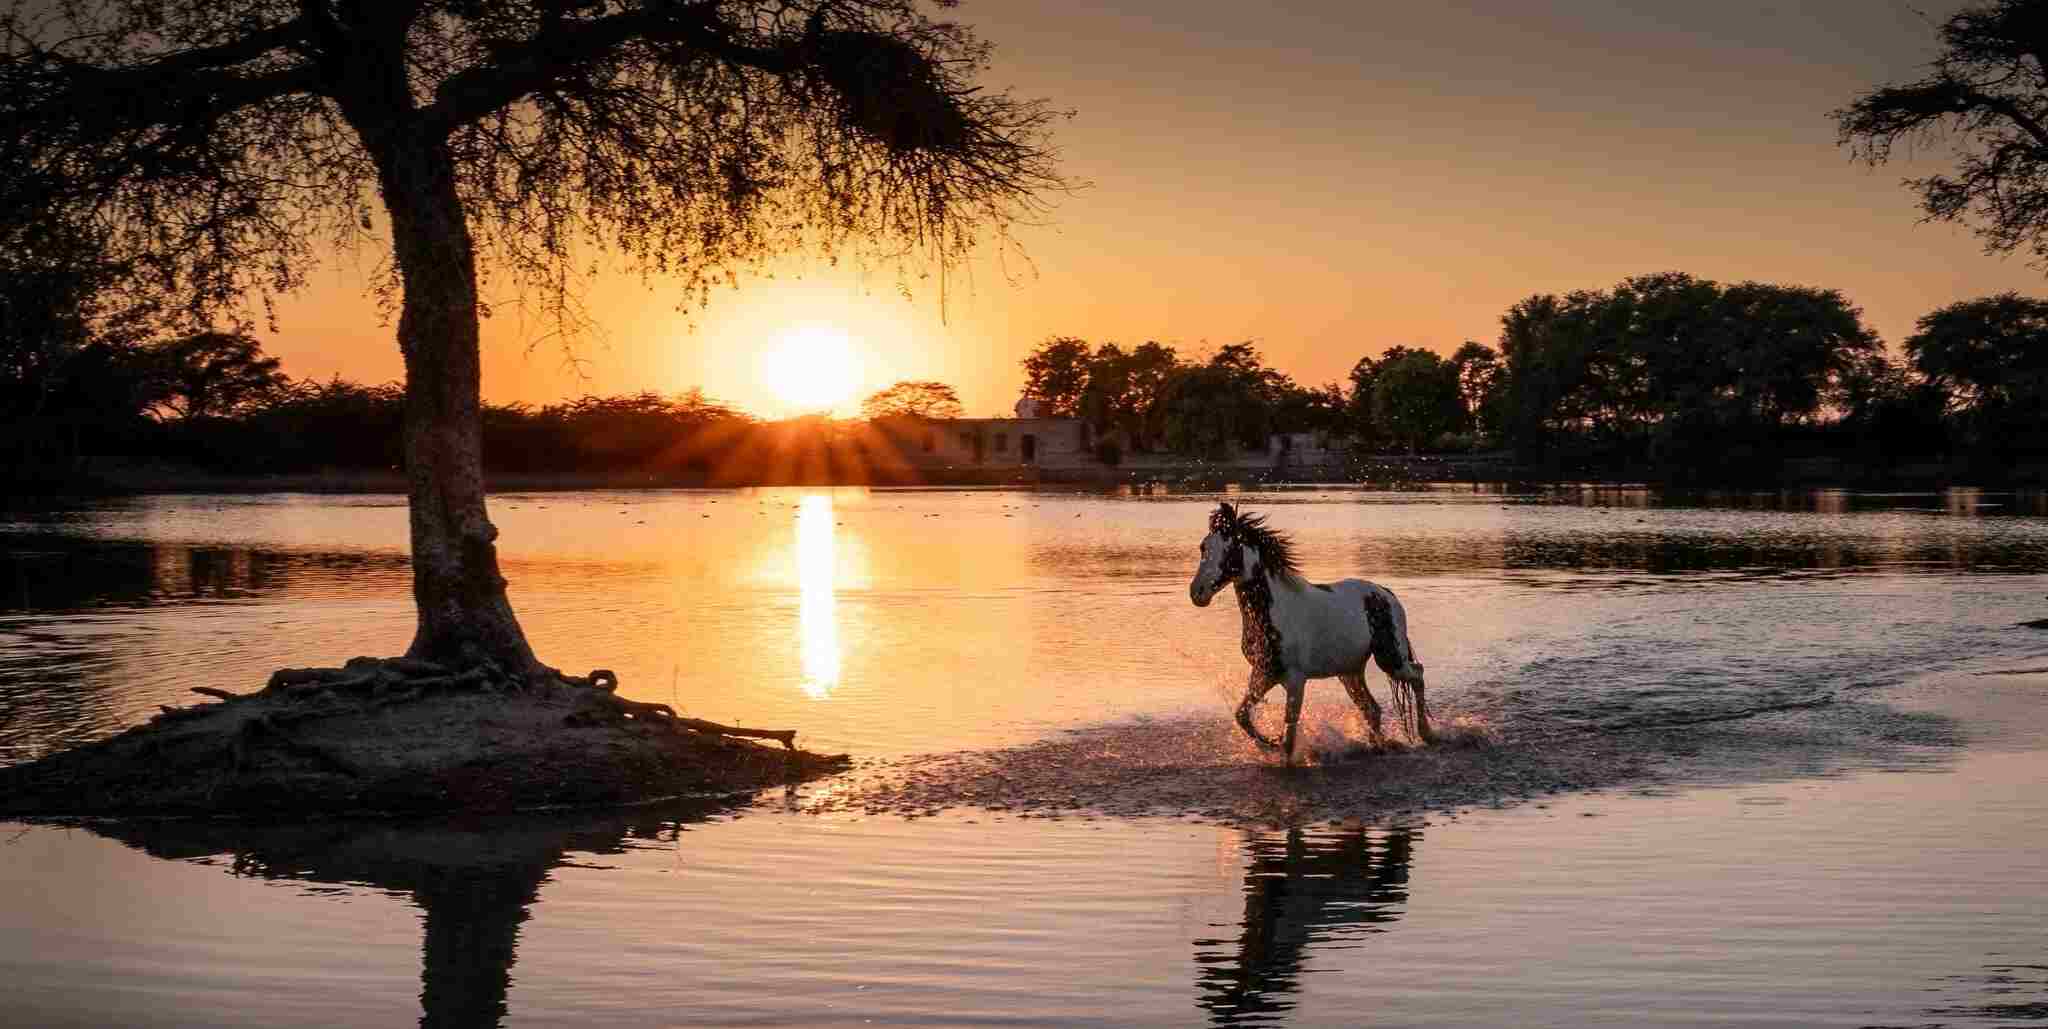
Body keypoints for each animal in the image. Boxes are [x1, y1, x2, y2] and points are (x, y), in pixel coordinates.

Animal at [1196, 502, 1433, 758]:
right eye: (1203, 547)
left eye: (1229, 549)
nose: (1197, 592)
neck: (1275, 611)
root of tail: (1385, 593)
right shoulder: (1264, 673)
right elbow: (1243, 716)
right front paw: (1270, 741)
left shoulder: (1295, 679)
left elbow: (1290, 733)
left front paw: (1283, 750)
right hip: (1350, 672)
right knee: (1372, 709)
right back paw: (1378, 745)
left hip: (1390, 659)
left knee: (1417, 674)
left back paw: (1426, 733)